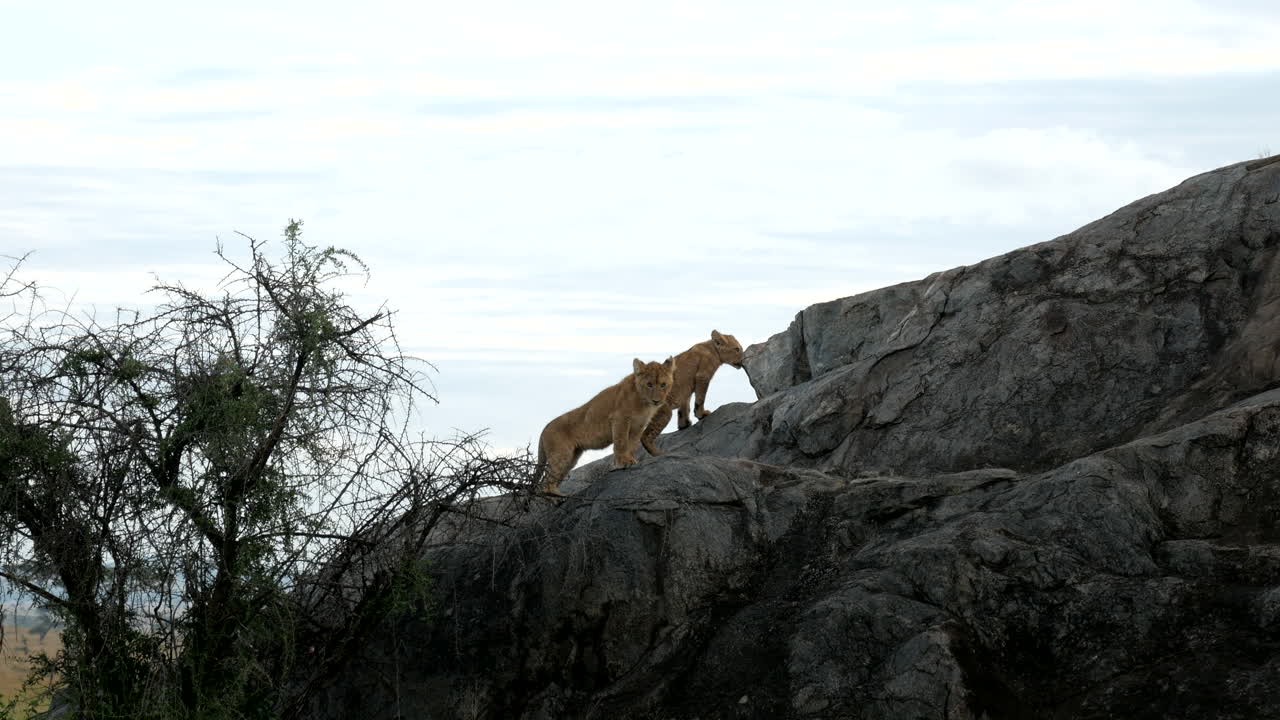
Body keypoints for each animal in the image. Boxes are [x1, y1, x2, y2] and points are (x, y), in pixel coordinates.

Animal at [536, 357, 676, 495]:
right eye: (649, 384)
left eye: (663, 385)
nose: (656, 401)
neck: (644, 404)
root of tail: (545, 428)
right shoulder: (620, 419)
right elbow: (621, 442)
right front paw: (623, 462)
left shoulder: (638, 426)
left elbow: (632, 445)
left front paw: (629, 460)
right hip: (561, 454)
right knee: (545, 483)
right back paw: (555, 496)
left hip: (572, 457)